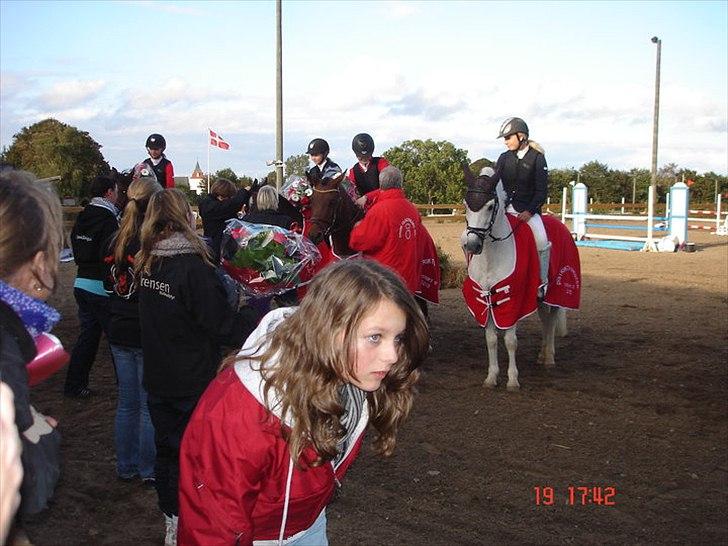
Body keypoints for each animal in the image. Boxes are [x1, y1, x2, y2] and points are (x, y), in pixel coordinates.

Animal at [460, 165, 580, 386]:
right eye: (466, 204)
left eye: (490, 206)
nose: (471, 245)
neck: (491, 257)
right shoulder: (485, 298)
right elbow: (491, 339)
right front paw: (491, 377)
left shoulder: (513, 300)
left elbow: (510, 341)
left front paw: (512, 380)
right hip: (539, 299)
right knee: (545, 321)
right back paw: (542, 355)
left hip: (555, 295)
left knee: (551, 321)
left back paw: (549, 358)